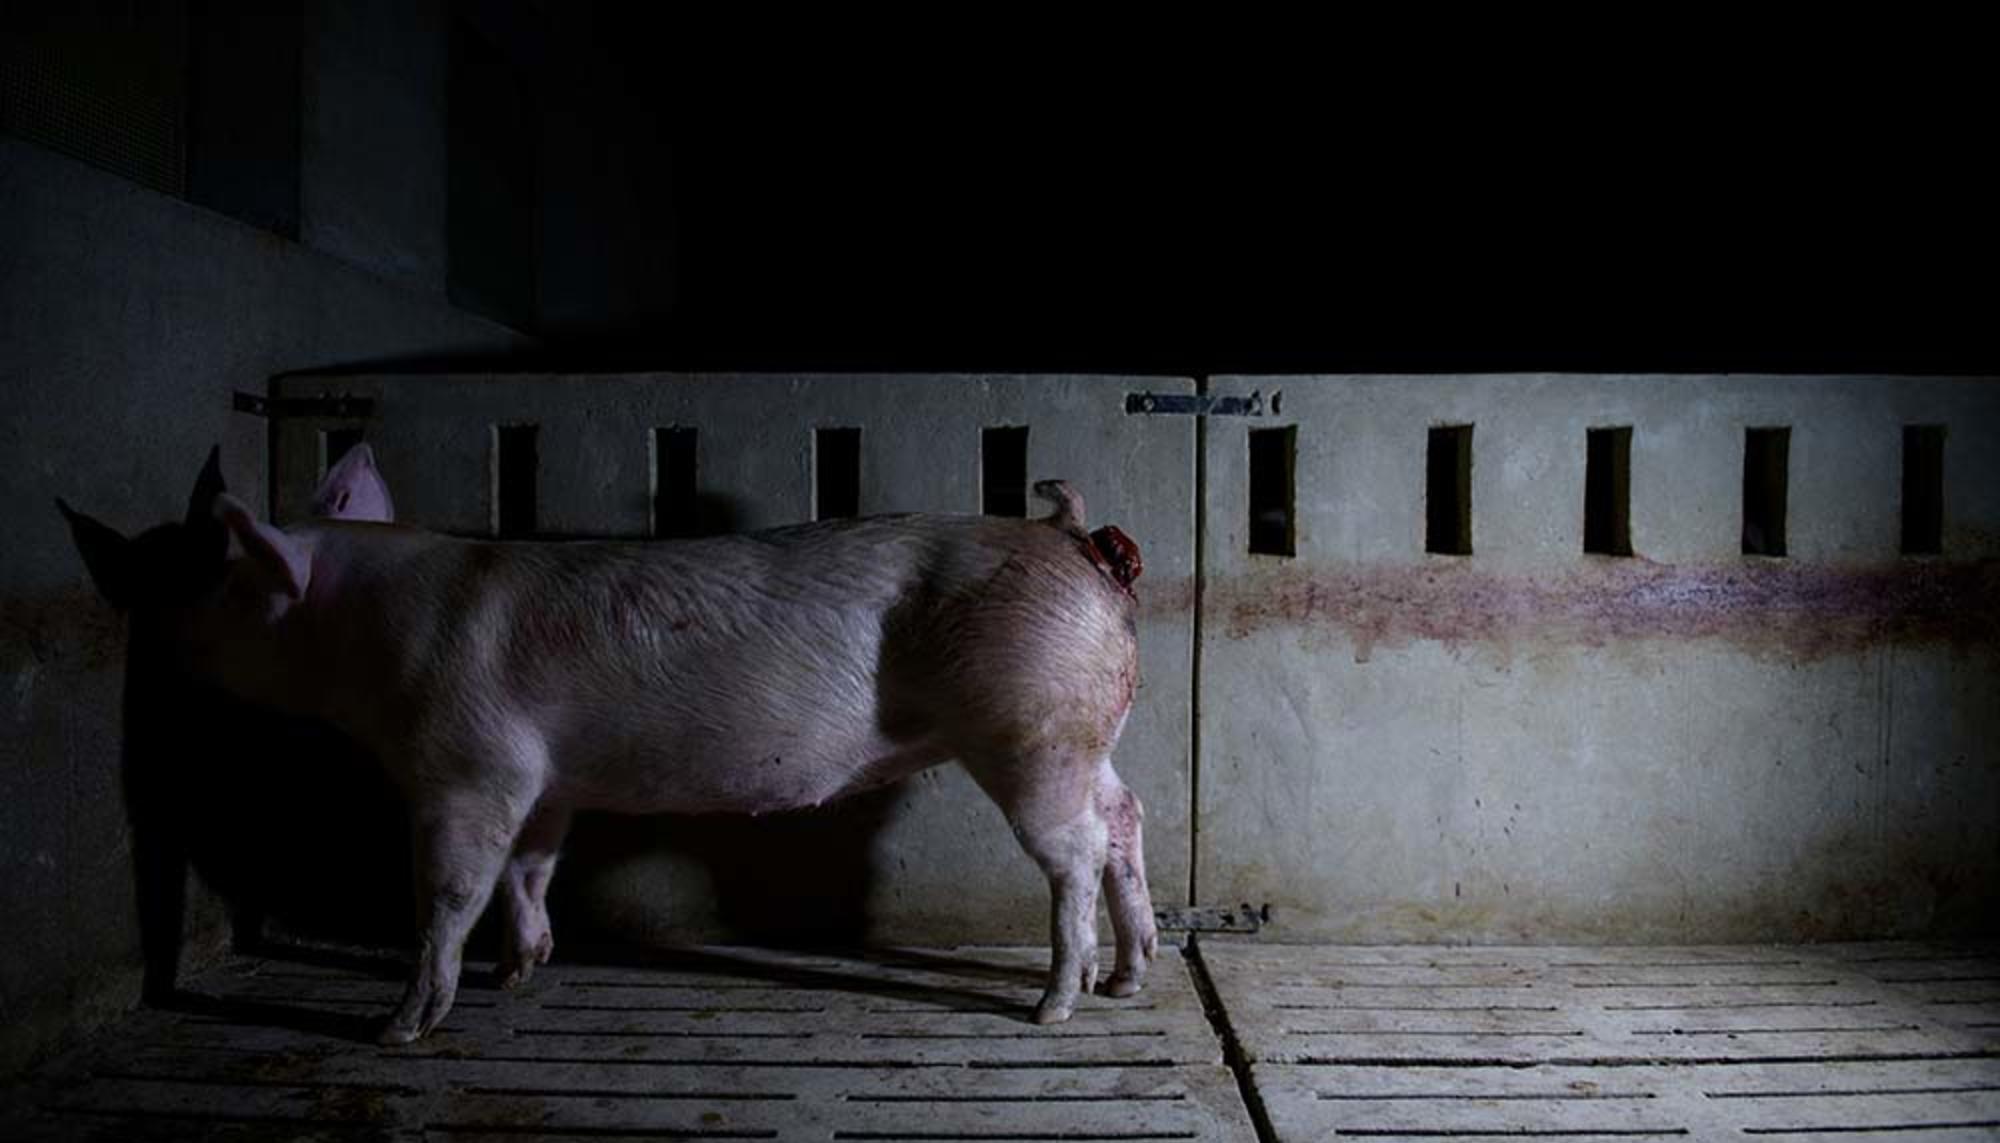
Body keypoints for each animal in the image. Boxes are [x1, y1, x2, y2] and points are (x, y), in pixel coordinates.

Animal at [58, 445, 1160, 1047]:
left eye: (220, 583)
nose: (154, 628)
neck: (364, 638)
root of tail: (1072, 540)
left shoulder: (467, 766)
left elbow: (449, 890)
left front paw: (397, 1026)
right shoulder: (546, 781)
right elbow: (532, 869)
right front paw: (521, 973)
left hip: (1027, 727)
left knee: (1073, 853)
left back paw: (1055, 1005)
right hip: (1082, 728)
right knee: (1125, 814)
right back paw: (1129, 977)